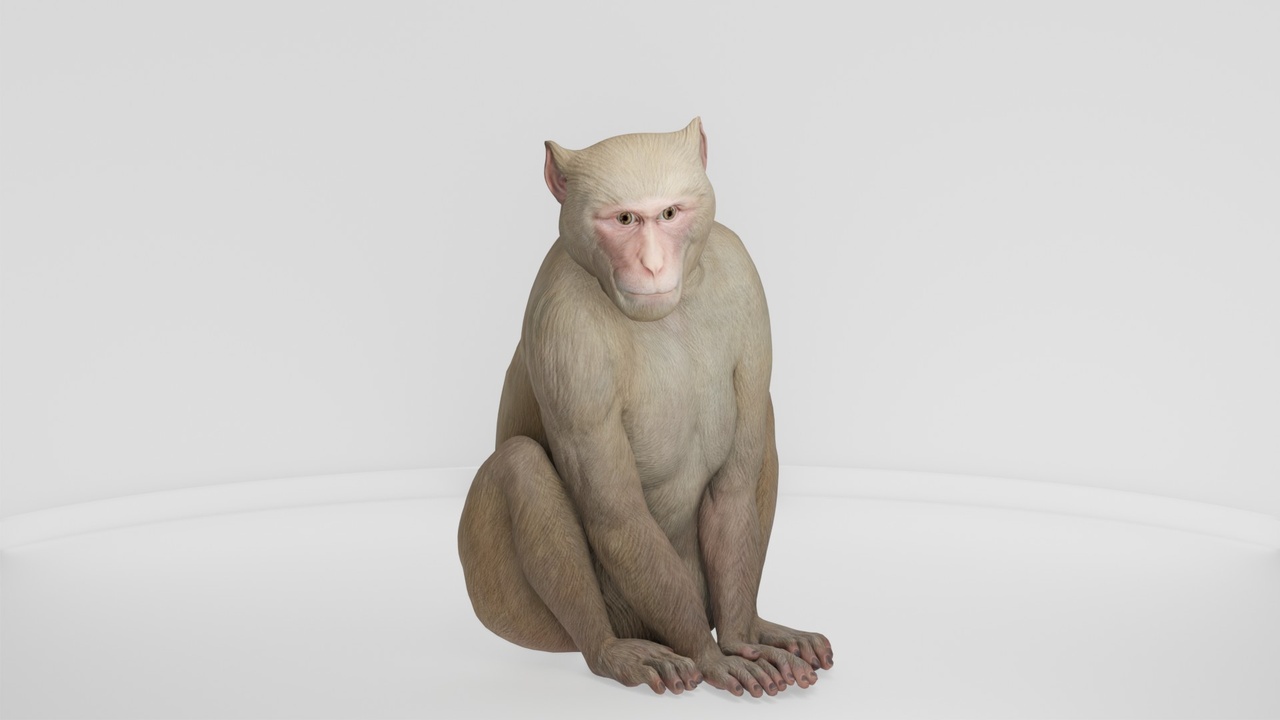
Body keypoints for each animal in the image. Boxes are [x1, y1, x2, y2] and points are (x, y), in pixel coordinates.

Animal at [457, 119, 832, 697]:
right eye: (625, 219)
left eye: (670, 214)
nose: (653, 266)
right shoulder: (563, 326)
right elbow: (618, 514)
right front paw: (711, 655)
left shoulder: (743, 275)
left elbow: (734, 486)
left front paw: (738, 640)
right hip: (519, 608)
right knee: (520, 464)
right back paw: (610, 649)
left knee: (763, 427)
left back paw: (751, 626)